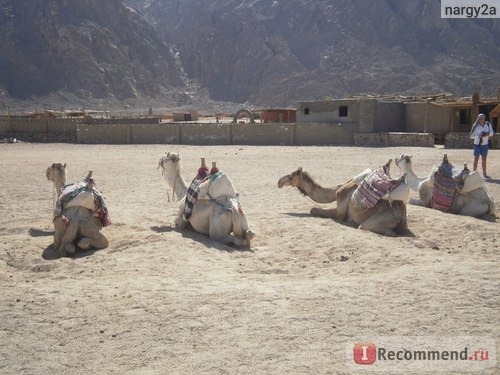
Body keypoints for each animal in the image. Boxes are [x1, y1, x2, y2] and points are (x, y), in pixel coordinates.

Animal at [278, 161, 410, 236]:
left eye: (291, 176)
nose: (279, 182)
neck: (335, 191)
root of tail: (403, 216)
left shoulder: (340, 211)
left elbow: (313, 209)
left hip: (380, 218)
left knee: (365, 226)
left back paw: (389, 232)